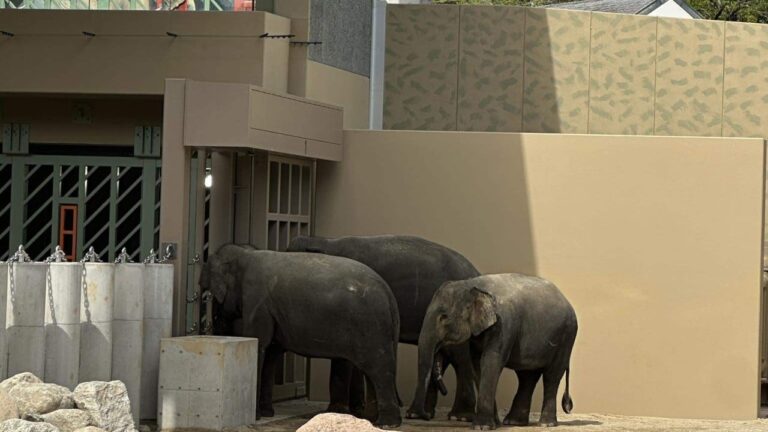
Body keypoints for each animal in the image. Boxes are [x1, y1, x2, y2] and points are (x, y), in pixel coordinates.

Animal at [200, 244, 403, 428]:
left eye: (211, 296)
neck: (247, 253)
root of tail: (388, 294)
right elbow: (272, 352)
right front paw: (267, 414)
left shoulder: (257, 301)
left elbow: (260, 344)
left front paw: (257, 417)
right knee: (372, 372)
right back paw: (373, 421)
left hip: (370, 326)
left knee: (379, 369)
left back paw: (387, 425)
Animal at [287, 235, 481, 421]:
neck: (324, 241)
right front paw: (358, 411)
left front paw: (338, 411)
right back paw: (421, 414)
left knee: (459, 358)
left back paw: (459, 416)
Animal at [411, 273, 578, 430]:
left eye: (443, 317)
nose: (426, 416)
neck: (472, 284)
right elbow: (477, 364)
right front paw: (494, 424)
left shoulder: (503, 324)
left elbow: (490, 361)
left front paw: (482, 427)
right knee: (527, 376)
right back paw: (513, 422)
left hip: (566, 336)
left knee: (551, 376)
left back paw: (545, 424)